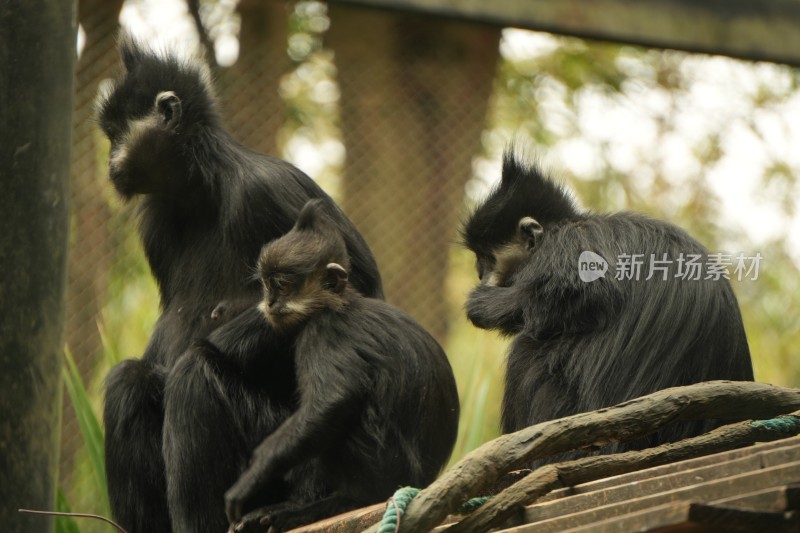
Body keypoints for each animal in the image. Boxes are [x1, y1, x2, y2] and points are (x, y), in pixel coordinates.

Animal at [97, 34, 384, 532]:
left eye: (117, 134)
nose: (110, 159)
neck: (201, 194)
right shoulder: (156, 222)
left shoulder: (262, 189)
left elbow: (360, 295)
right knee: (128, 382)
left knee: (193, 376)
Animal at [223, 201, 462, 532]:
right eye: (267, 285)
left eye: (282, 286)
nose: (269, 303)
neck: (339, 304)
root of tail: (424, 479)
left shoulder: (326, 330)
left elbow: (331, 403)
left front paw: (255, 475)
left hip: (386, 465)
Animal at [462, 153, 756, 454]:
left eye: (486, 258)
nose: (481, 274)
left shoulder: (571, 242)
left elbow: (577, 289)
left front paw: (485, 305)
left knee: (526, 351)